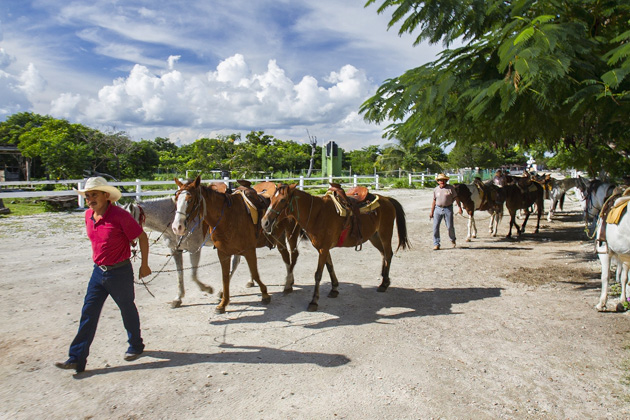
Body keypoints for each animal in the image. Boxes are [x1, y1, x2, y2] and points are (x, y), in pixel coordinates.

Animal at [172, 176, 302, 314]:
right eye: (176, 199)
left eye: (190, 200)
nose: (177, 227)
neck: (227, 217)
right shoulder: (223, 253)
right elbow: (225, 277)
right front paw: (223, 303)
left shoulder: (249, 250)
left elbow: (254, 273)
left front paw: (265, 294)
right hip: (279, 237)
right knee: (285, 255)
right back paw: (289, 282)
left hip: (291, 233)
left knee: (292, 255)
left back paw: (288, 284)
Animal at [260, 185, 412, 312]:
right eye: (271, 198)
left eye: (282, 200)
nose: (264, 222)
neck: (317, 214)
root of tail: (387, 199)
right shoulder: (323, 248)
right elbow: (330, 267)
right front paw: (334, 289)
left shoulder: (323, 249)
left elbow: (318, 274)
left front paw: (314, 301)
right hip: (374, 237)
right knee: (383, 254)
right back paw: (384, 278)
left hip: (385, 233)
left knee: (388, 254)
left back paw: (384, 283)